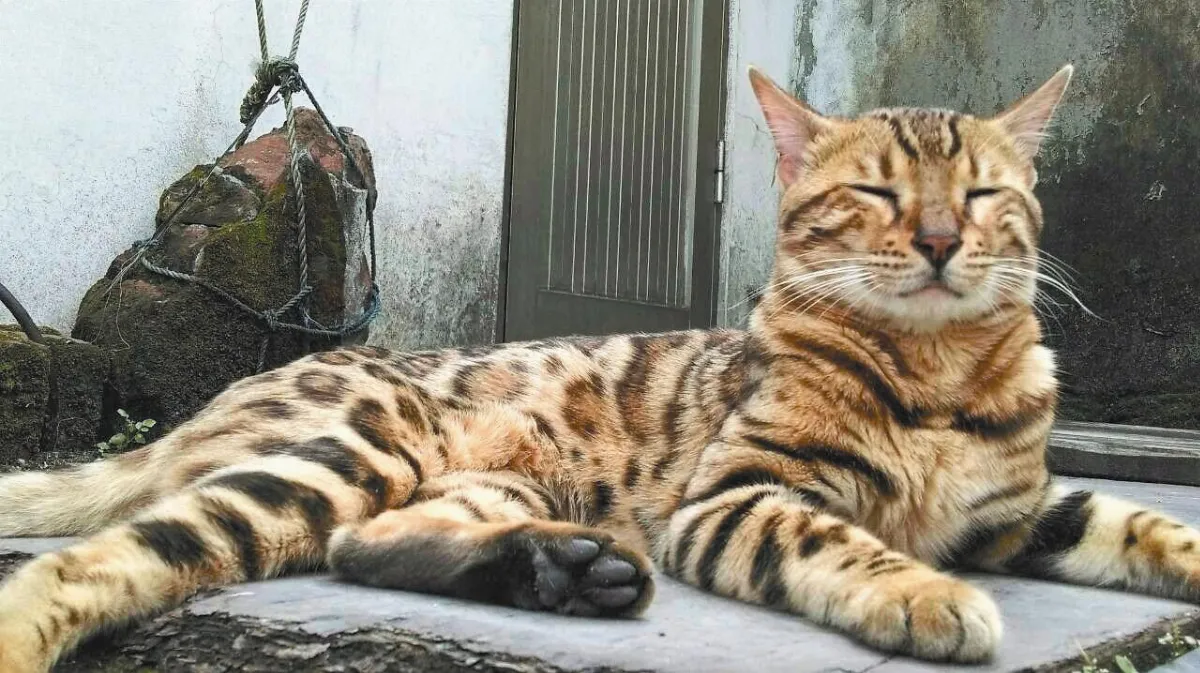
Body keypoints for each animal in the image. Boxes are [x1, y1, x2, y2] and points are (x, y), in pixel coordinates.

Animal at [1, 63, 1197, 672]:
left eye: (986, 195)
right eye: (879, 195)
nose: (945, 240)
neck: (939, 375)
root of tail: (206, 407)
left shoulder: (1022, 509)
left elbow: (1144, 522)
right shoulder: (738, 495)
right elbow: (838, 538)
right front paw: (921, 591)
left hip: (488, 480)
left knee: (359, 545)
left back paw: (562, 571)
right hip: (352, 449)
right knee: (108, 556)